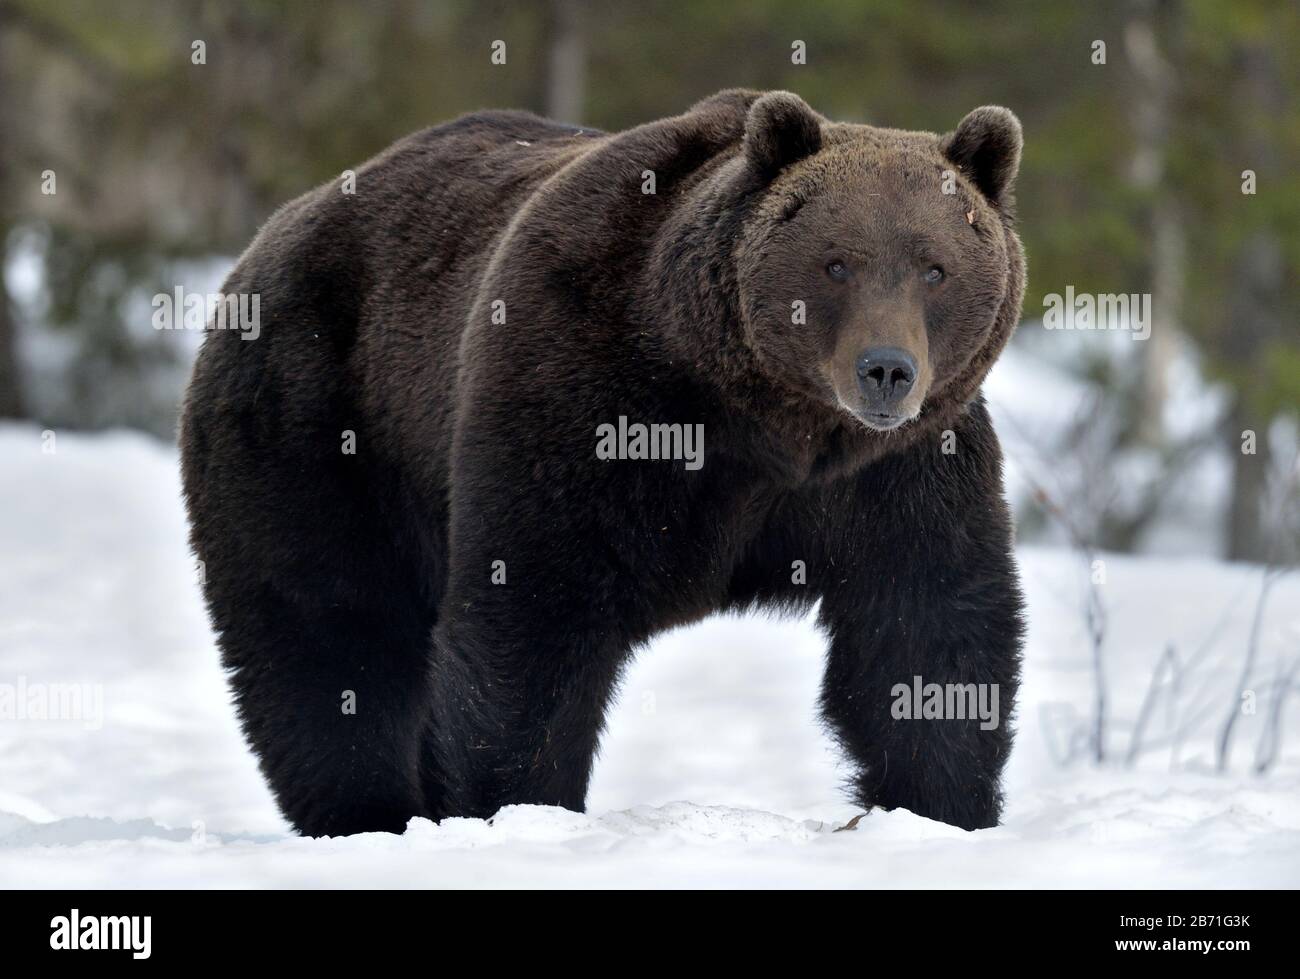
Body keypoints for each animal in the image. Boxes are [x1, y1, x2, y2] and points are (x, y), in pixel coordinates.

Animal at [183, 89, 1029, 832]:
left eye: (935, 267)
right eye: (837, 263)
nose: (885, 369)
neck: (765, 420)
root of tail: (271, 234)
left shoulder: (894, 472)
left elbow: (925, 629)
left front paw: (942, 809)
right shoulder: (581, 395)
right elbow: (535, 616)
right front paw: (521, 805)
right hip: (319, 419)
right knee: (328, 627)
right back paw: (367, 811)